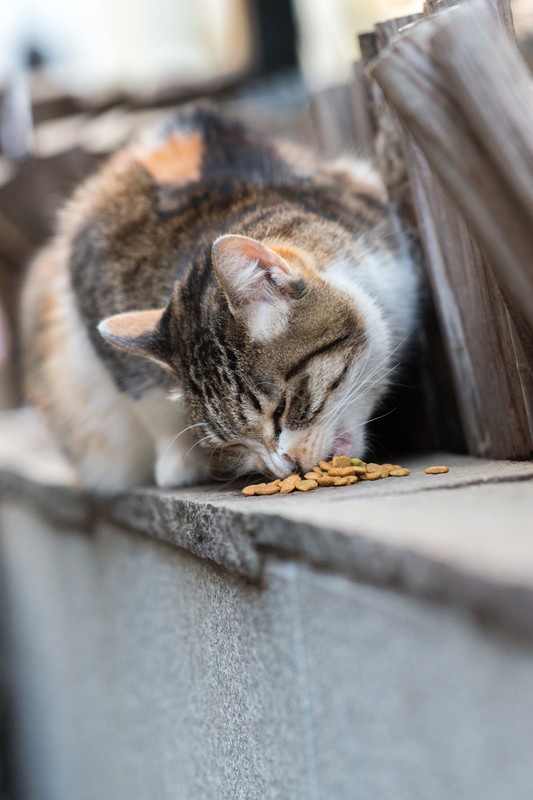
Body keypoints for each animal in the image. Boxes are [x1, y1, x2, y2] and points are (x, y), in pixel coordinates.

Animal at [21, 103, 420, 490]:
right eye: (234, 444)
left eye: (281, 408)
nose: (284, 468)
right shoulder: (89, 272)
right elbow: (145, 396)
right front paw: (180, 460)